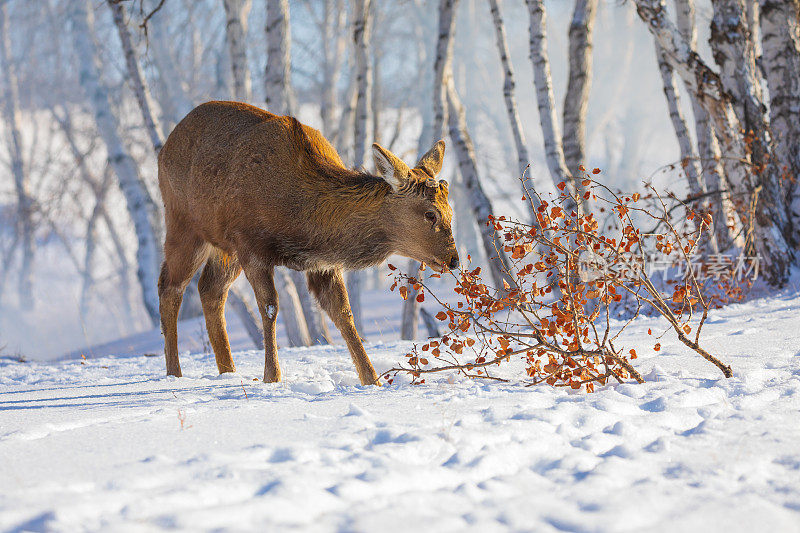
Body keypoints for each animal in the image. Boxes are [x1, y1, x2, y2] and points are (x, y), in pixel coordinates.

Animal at [158, 101, 456, 382]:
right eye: (430, 213)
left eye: (450, 211)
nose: (453, 259)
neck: (304, 223)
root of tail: (164, 148)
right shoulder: (251, 245)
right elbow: (270, 307)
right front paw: (272, 377)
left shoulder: (323, 263)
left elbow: (344, 313)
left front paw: (372, 380)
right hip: (183, 223)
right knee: (169, 286)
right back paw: (174, 373)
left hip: (224, 247)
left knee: (210, 289)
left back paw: (228, 371)